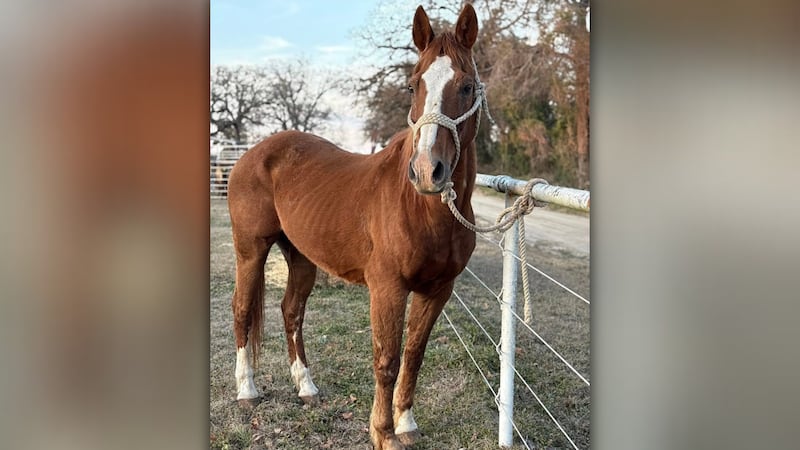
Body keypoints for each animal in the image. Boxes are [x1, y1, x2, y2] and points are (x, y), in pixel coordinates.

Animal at [227, 5, 482, 449]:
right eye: (413, 86)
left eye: (466, 86)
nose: (426, 171)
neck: (421, 209)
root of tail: (253, 153)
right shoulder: (387, 288)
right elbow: (387, 359)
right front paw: (383, 434)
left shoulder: (438, 290)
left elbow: (414, 355)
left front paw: (406, 423)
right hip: (251, 249)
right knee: (243, 310)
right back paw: (247, 390)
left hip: (301, 256)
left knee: (291, 312)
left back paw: (306, 387)